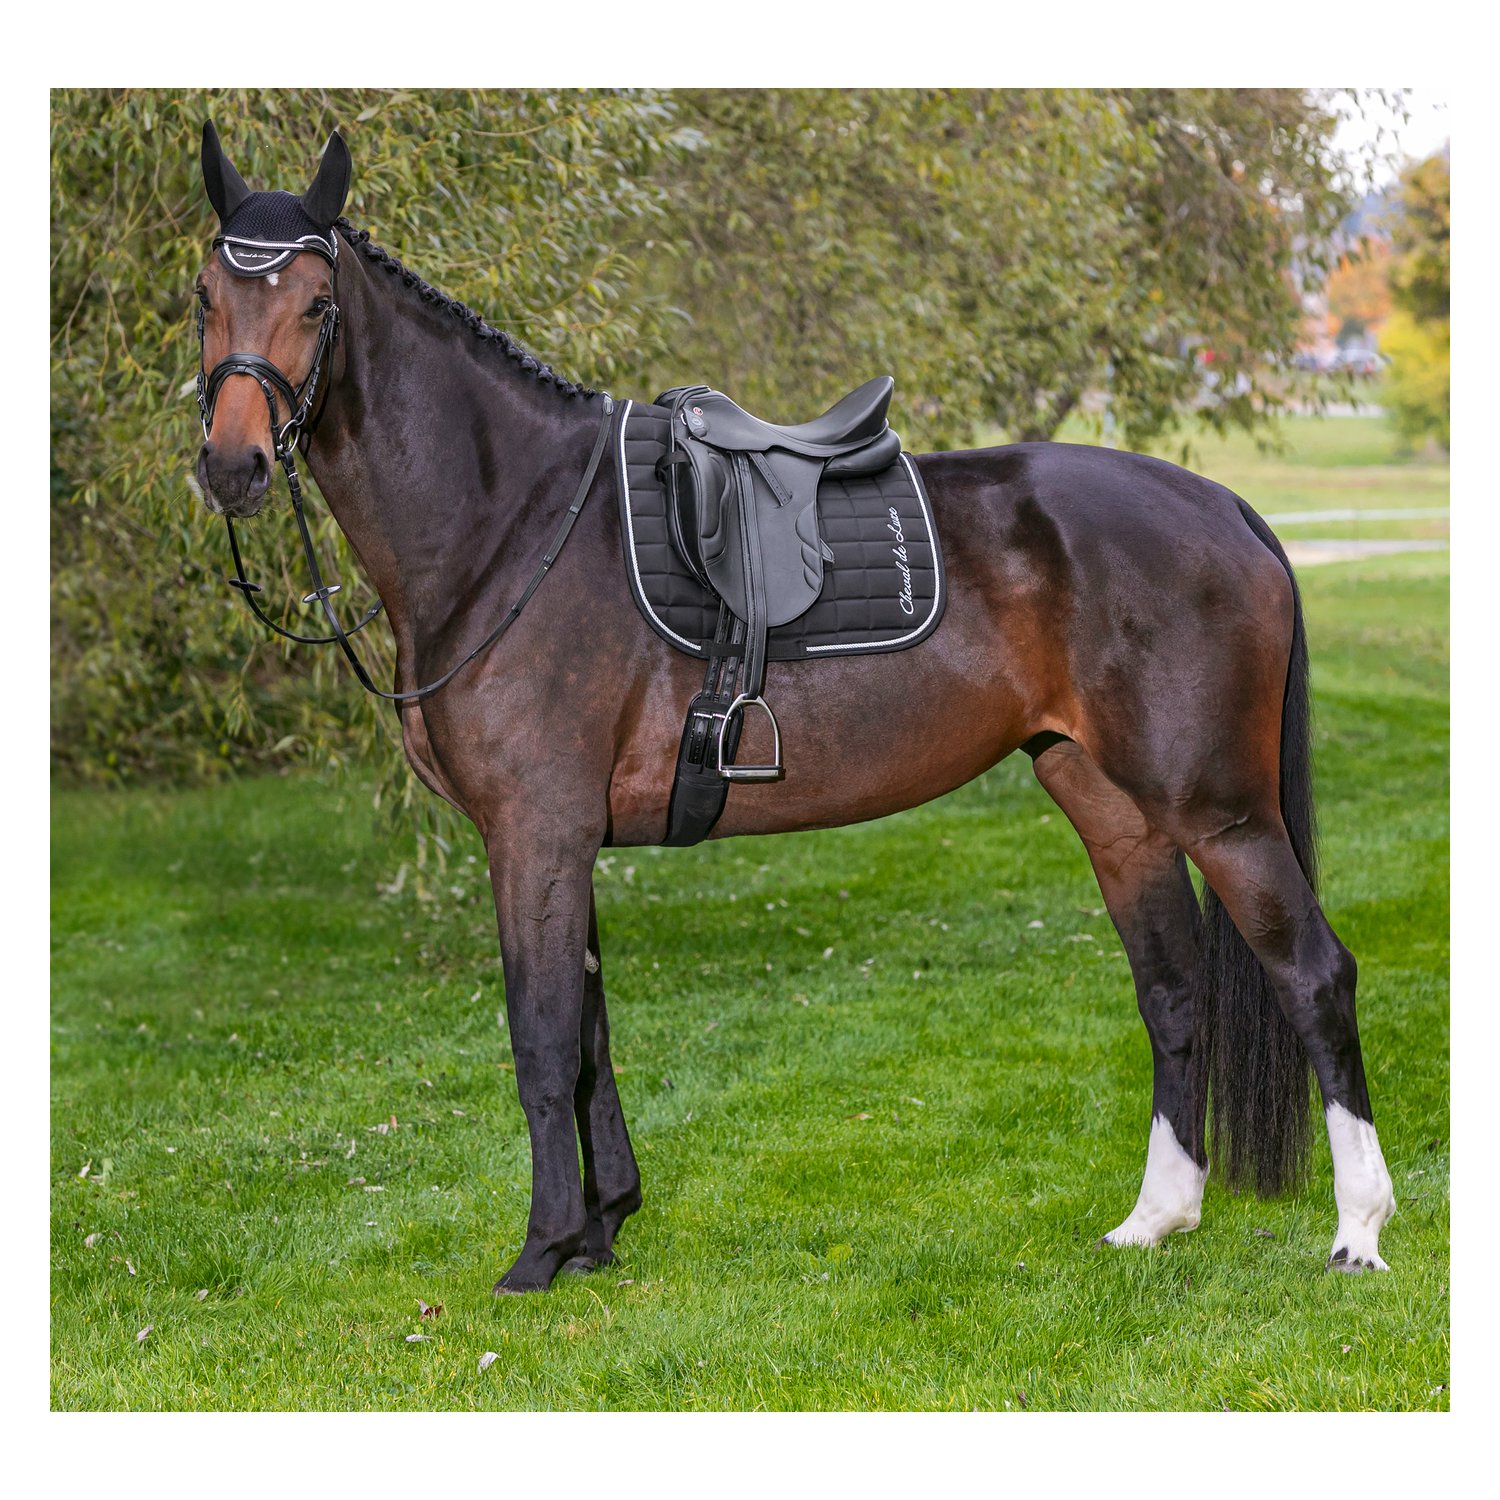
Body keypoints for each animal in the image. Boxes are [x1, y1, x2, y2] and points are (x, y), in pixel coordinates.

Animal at [189, 123, 1396, 1293]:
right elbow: (590, 1039)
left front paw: (541, 1253)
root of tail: (1224, 505)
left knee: (1313, 975)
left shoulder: (534, 832)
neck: (512, 522)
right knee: (1174, 992)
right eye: (206, 296)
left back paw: (1358, 1232)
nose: (234, 465)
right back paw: (1156, 1219)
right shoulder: (567, 840)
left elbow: (541, 1041)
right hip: (1115, 809)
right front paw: (601, 1232)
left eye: (317, 303)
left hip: (1221, 810)